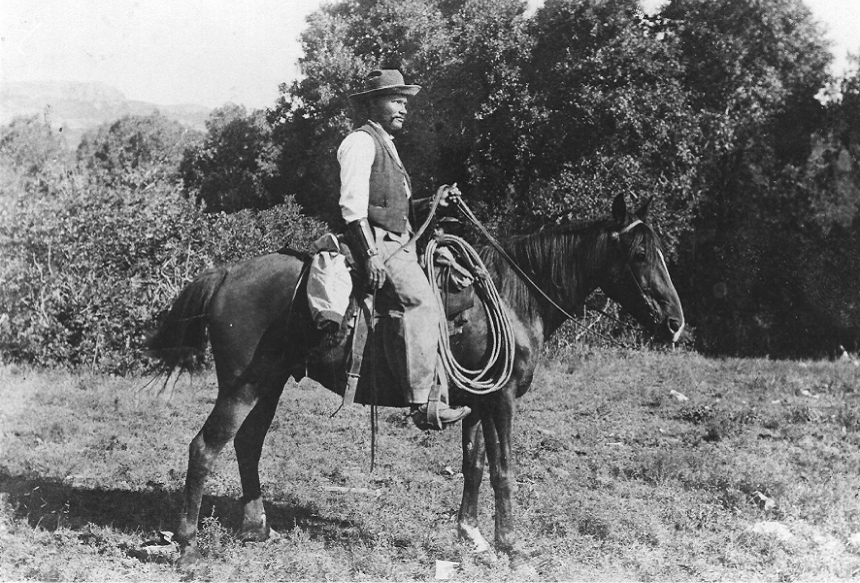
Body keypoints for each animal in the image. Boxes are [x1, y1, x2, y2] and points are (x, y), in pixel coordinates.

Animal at [148, 194, 684, 568]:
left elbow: (474, 466)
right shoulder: (504, 401)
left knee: (248, 444)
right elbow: (504, 471)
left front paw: (472, 535)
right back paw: (188, 546)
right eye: (639, 253)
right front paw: (512, 547)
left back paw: (257, 527)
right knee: (206, 447)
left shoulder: (478, 401)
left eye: (660, 251)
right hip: (243, 385)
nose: (675, 323)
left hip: (271, 382)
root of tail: (226, 273)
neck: (513, 299)